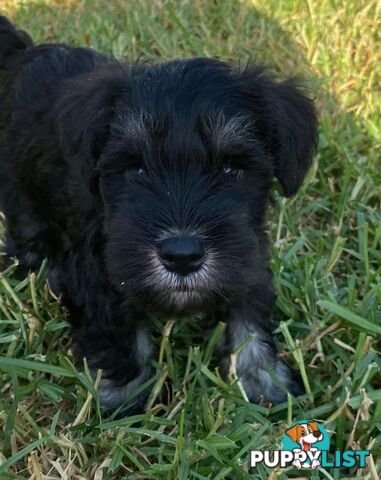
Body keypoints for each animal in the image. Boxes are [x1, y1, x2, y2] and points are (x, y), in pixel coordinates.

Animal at [0, 16, 316, 410]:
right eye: (135, 168)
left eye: (232, 167)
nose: (181, 255)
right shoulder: (100, 271)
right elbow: (117, 330)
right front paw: (124, 399)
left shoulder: (247, 258)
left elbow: (249, 318)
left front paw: (262, 382)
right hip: (20, 189)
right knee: (27, 237)